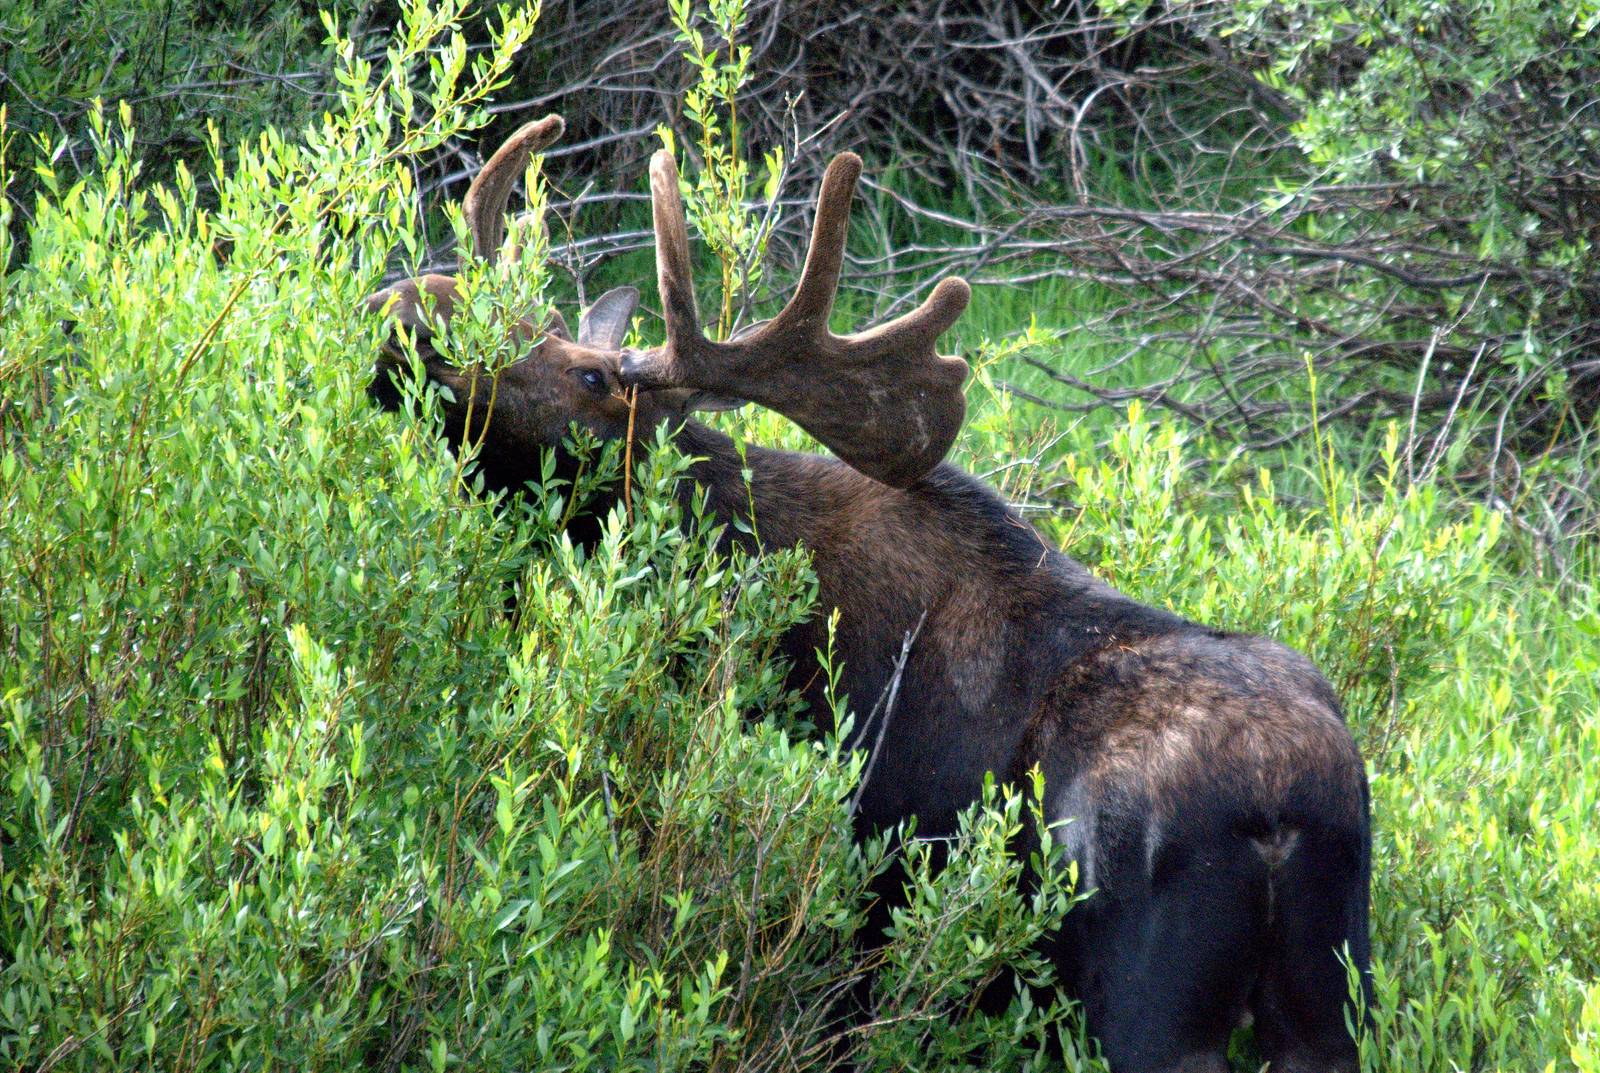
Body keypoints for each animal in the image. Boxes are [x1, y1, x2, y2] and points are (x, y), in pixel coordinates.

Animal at [364, 114, 1372, 1073]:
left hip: (1152, 1009)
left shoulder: (853, 919)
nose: (406, 305)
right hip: (1326, 1005)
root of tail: (1281, 809)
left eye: (589, 376)